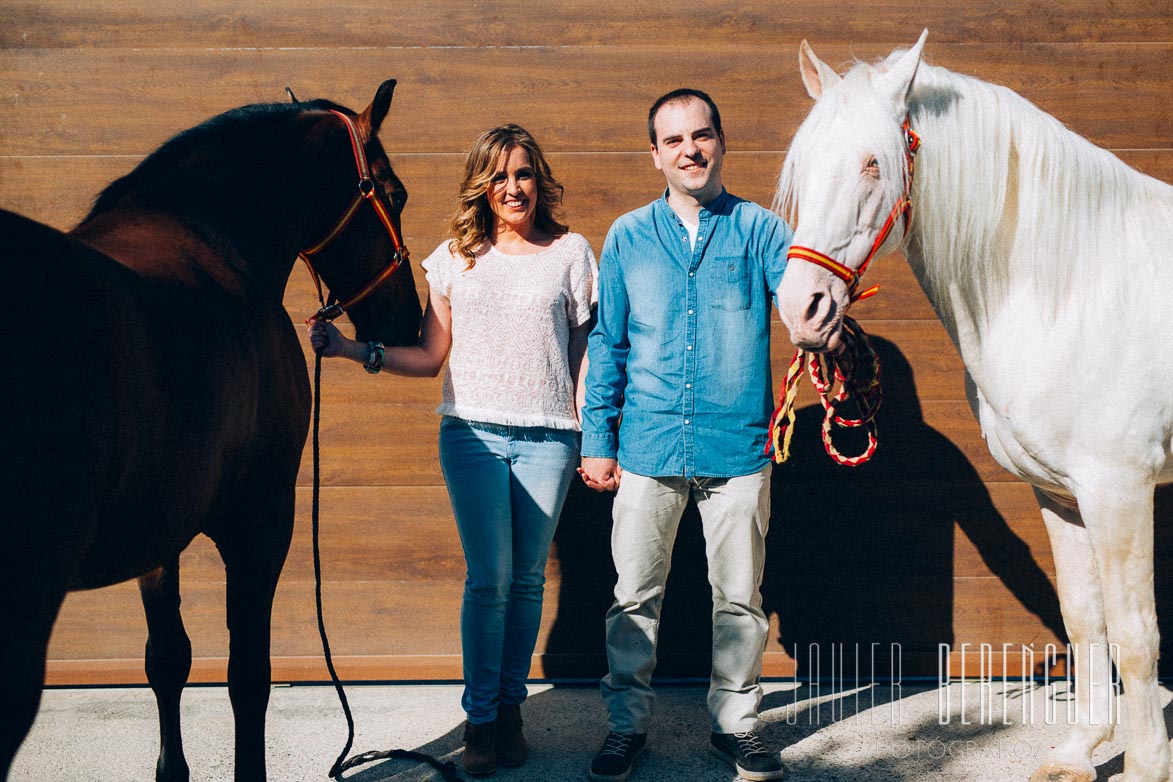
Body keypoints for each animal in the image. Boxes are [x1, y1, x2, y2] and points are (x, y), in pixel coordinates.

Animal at [0, 80, 422, 782]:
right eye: (395, 194)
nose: (408, 323)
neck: (215, 237)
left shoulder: (160, 532)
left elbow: (167, 659)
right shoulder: (261, 519)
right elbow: (248, 677)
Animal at [778, 30, 1173, 782]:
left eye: (873, 162)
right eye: (803, 161)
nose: (800, 307)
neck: (1074, 284)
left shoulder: (1120, 489)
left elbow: (1136, 635)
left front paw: (1144, 767)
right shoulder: (1062, 493)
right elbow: (1084, 618)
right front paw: (1078, 751)